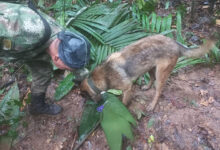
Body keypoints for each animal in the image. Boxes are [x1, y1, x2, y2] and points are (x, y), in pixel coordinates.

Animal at [80, 34, 216, 110]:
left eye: (86, 97)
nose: (95, 104)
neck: (102, 75)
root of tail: (175, 43)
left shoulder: (127, 88)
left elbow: (124, 102)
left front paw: (123, 108)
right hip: (150, 67)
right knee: (152, 79)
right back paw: (146, 87)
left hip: (160, 74)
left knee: (158, 91)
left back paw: (152, 105)